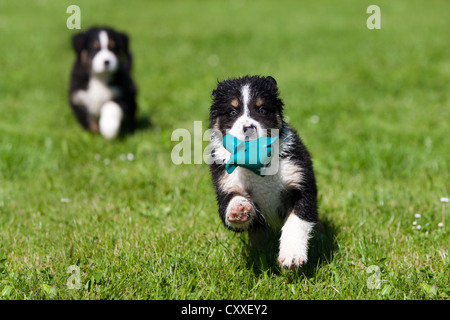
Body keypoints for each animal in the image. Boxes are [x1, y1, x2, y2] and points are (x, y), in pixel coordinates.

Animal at [208, 76, 318, 268]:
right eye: (232, 111)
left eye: (262, 109)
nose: (248, 128)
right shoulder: (225, 183)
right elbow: (229, 206)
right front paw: (238, 209)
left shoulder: (300, 183)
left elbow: (297, 220)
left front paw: (292, 255)